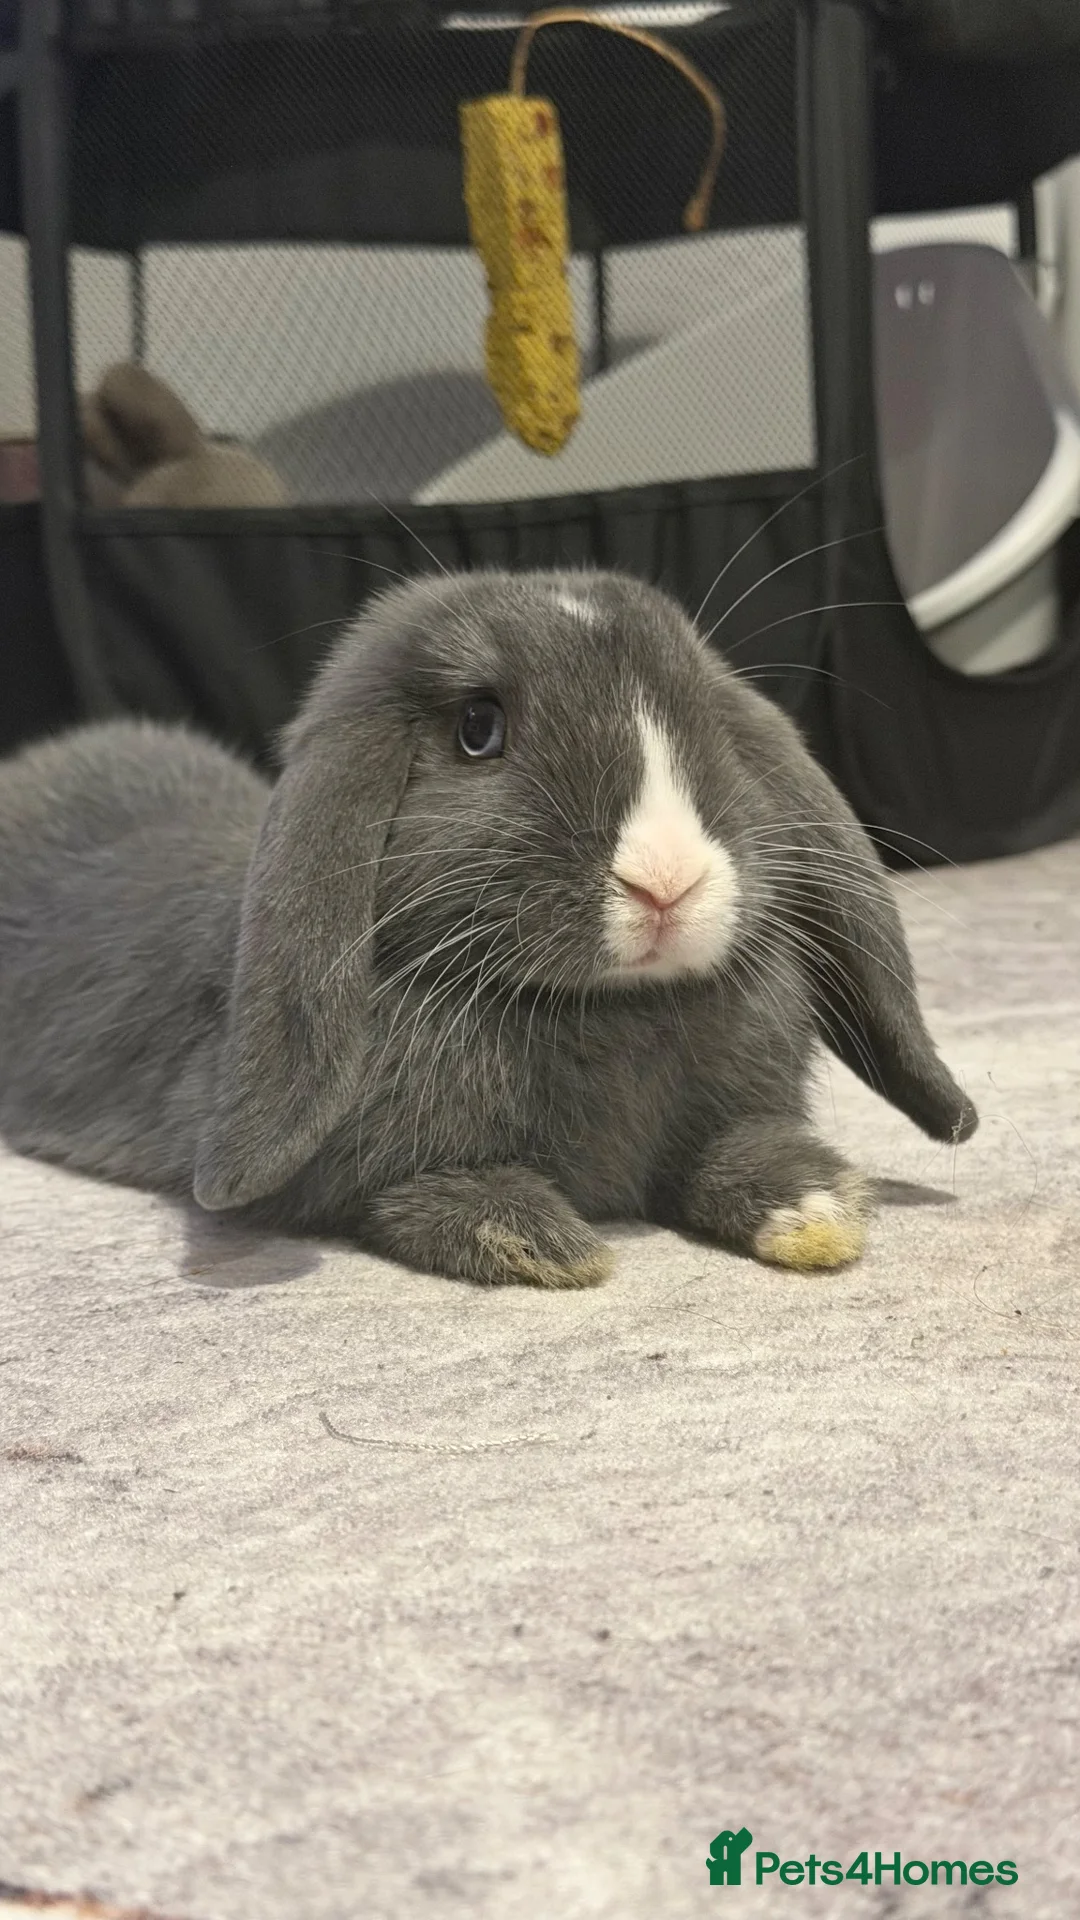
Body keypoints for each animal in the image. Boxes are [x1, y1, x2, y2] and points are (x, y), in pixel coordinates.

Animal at [0, 569, 976, 1289]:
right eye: (479, 729)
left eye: (705, 719)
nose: (666, 880)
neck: (607, 1010)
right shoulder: (373, 1172)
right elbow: (417, 1195)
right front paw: (546, 1244)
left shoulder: (725, 1118)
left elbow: (742, 1149)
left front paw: (813, 1212)